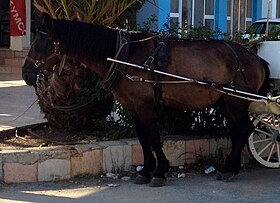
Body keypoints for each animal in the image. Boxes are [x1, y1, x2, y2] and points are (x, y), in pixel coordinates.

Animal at [23, 13, 270, 186]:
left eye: (41, 42)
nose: (26, 74)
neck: (124, 55)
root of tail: (253, 57)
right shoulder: (133, 106)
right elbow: (143, 137)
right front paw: (146, 170)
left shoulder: (145, 105)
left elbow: (153, 136)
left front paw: (160, 171)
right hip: (228, 102)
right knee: (237, 131)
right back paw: (230, 166)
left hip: (236, 102)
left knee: (245, 130)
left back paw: (229, 168)